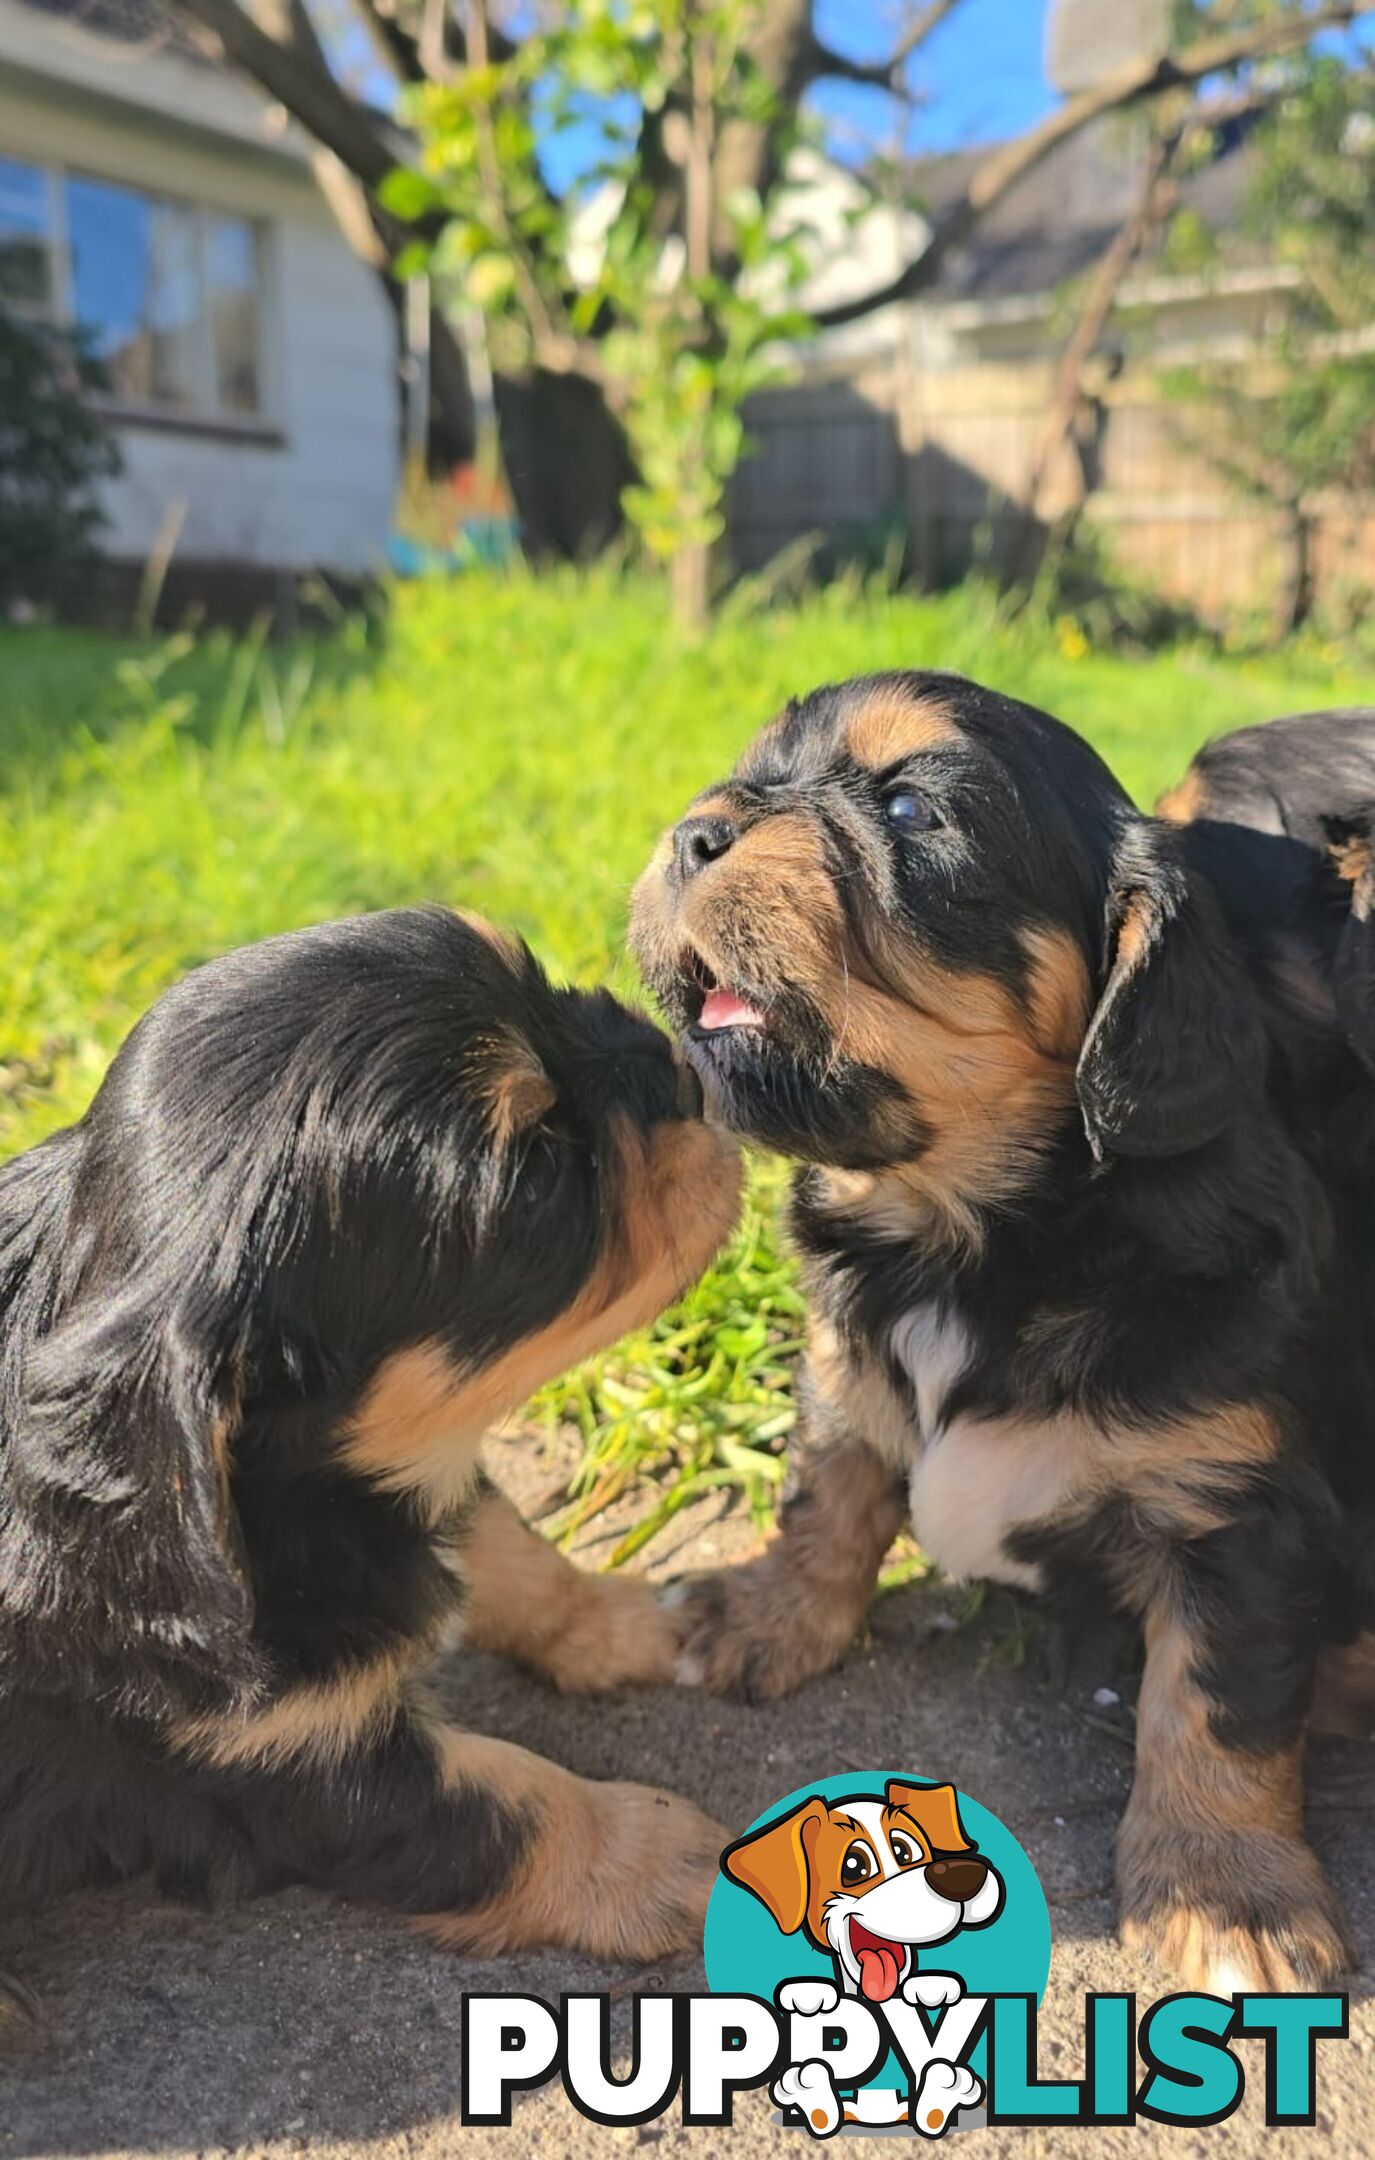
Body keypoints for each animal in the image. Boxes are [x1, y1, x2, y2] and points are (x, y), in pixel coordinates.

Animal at [0, 902, 738, 2013]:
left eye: (548, 985)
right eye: (538, 1174)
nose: (682, 1069)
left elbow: (514, 1554)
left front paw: (635, 1620)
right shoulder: (284, 1767)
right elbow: (509, 1800)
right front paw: (654, 1853)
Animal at [634, 669, 1372, 1987]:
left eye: (911, 809)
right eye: (752, 773)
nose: (692, 833)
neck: (956, 1232)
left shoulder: (1240, 1508)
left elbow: (1213, 1703)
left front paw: (1224, 1894)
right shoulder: (842, 1360)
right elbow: (829, 1493)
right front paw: (762, 1616)